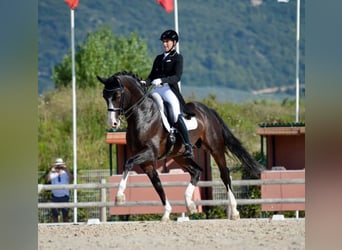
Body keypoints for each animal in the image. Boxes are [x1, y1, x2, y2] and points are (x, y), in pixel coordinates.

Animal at [96, 71, 262, 221]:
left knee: (224, 174)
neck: (143, 116)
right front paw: (166, 213)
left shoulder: (150, 153)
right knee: (197, 171)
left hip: (215, 148)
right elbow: (157, 184)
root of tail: (207, 110)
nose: (113, 123)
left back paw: (234, 212)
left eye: (117, 95)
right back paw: (190, 204)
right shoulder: (146, 162)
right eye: (104, 96)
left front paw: (119, 197)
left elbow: (128, 163)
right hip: (180, 155)